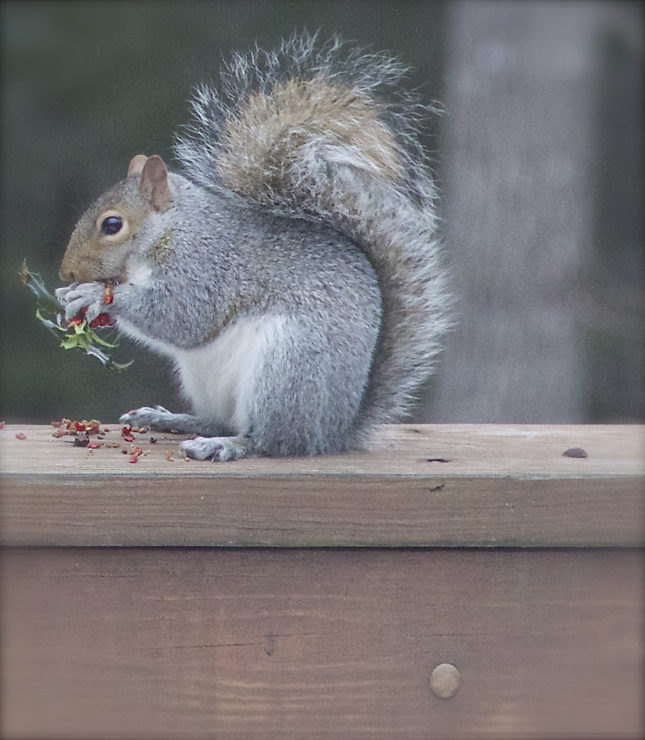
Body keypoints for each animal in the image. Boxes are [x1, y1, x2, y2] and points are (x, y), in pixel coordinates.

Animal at [55, 33, 450, 462]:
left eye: (112, 225)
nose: (66, 272)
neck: (173, 231)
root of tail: (336, 430)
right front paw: (68, 293)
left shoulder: (205, 267)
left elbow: (182, 317)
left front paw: (93, 295)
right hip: (208, 380)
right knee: (221, 419)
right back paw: (170, 419)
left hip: (287, 369)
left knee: (271, 441)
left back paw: (225, 445)